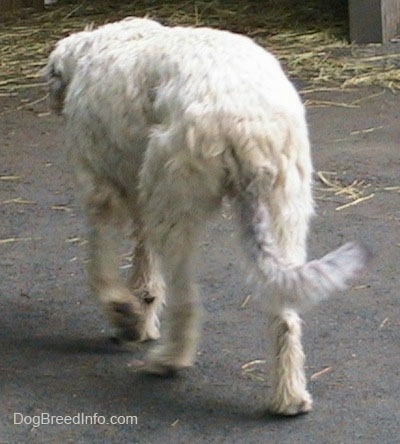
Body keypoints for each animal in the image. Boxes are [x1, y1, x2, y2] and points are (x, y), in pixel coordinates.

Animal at [46, 18, 368, 416]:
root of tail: (247, 123)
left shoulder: (101, 190)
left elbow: (100, 266)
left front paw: (124, 314)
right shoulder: (139, 194)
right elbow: (145, 272)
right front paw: (140, 314)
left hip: (176, 205)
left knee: (187, 302)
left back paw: (170, 359)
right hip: (283, 210)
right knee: (285, 315)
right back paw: (289, 397)